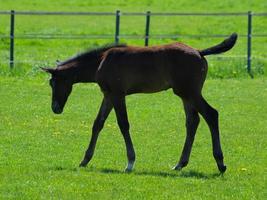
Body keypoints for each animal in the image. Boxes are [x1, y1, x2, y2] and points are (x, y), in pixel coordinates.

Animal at [43, 33, 239, 173]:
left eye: (53, 82)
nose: (55, 108)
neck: (101, 61)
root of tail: (199, 51)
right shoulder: (108, 95)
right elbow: (98, 123)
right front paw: (85, 160)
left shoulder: (118, 94)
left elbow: (123, 124)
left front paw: (130, 163)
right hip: (185, 95)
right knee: (193, 121)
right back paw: (180, 164)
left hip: (189, 92)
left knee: (211, 114)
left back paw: (220, 163)